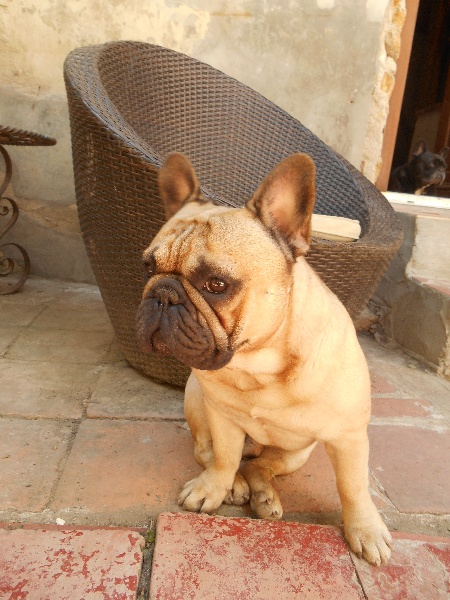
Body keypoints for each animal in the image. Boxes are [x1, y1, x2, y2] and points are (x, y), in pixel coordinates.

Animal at [136, 152, 392, 565]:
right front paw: (214, 488)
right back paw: (237, 486)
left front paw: (365, 529)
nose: (162, 294)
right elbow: (224, 458)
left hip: (296, 453)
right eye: (148, 267)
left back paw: (265, 495)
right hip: (196, 399)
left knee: (261, 466)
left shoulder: (349, 437)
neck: (258, 364)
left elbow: (353, 486)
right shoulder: (221, 417)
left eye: (217, 284)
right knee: (211, 452)